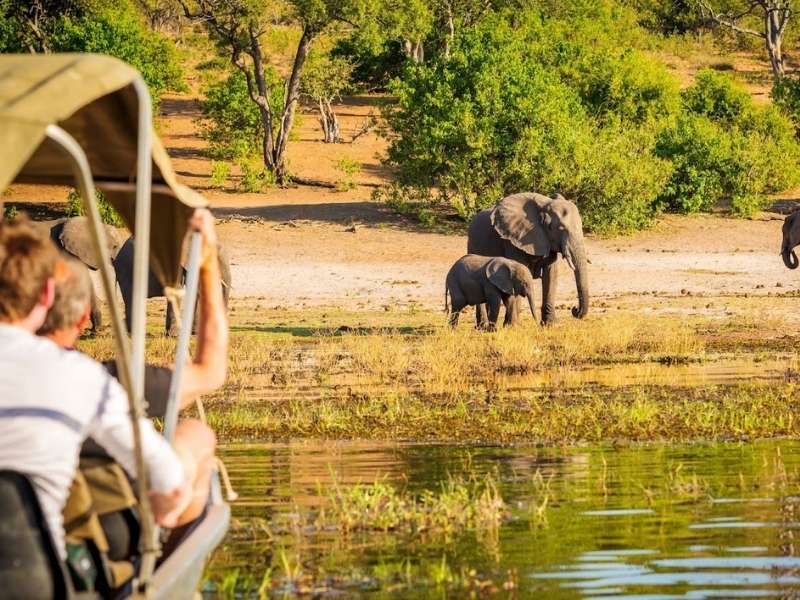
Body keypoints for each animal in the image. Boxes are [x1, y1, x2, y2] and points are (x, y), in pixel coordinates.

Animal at [468, 192, 588, 324]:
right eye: (561, 229)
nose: (575, 309)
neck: (544, 205)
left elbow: (551, 274)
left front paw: (549, 324)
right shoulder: (513, 240)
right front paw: (513, 325)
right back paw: (483, 326)